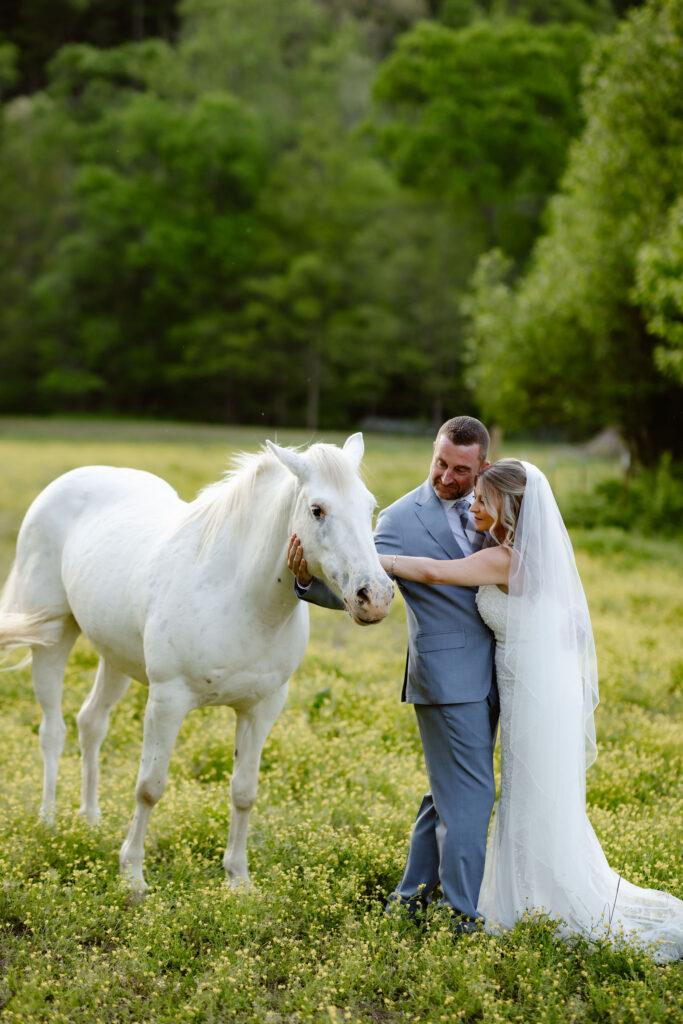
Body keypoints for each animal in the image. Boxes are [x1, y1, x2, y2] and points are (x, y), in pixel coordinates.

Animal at [0, 432, 393, 890]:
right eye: (317, 510)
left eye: (369, 506)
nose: (375, 596)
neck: (238, 594)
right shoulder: (167, 701)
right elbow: (149, 787)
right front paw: (133, 876)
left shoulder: (262, 708)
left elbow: (244, 791)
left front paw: (238, 880)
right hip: (52, 636)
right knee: (53, 731)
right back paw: (48, 822)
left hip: (114, 657)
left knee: (90, 723)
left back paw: (90, 820)